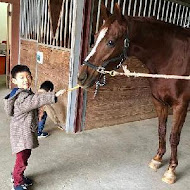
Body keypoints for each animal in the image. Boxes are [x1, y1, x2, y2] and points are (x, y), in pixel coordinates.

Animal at [77, 3, 190, 184]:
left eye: (111, 42)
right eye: (94, 36)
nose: (82, 77)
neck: (172, 57)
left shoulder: (181, 105)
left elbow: (174, 136)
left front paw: (171, 171)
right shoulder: (158, 101)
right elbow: (161, 130)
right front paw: (157, 159)